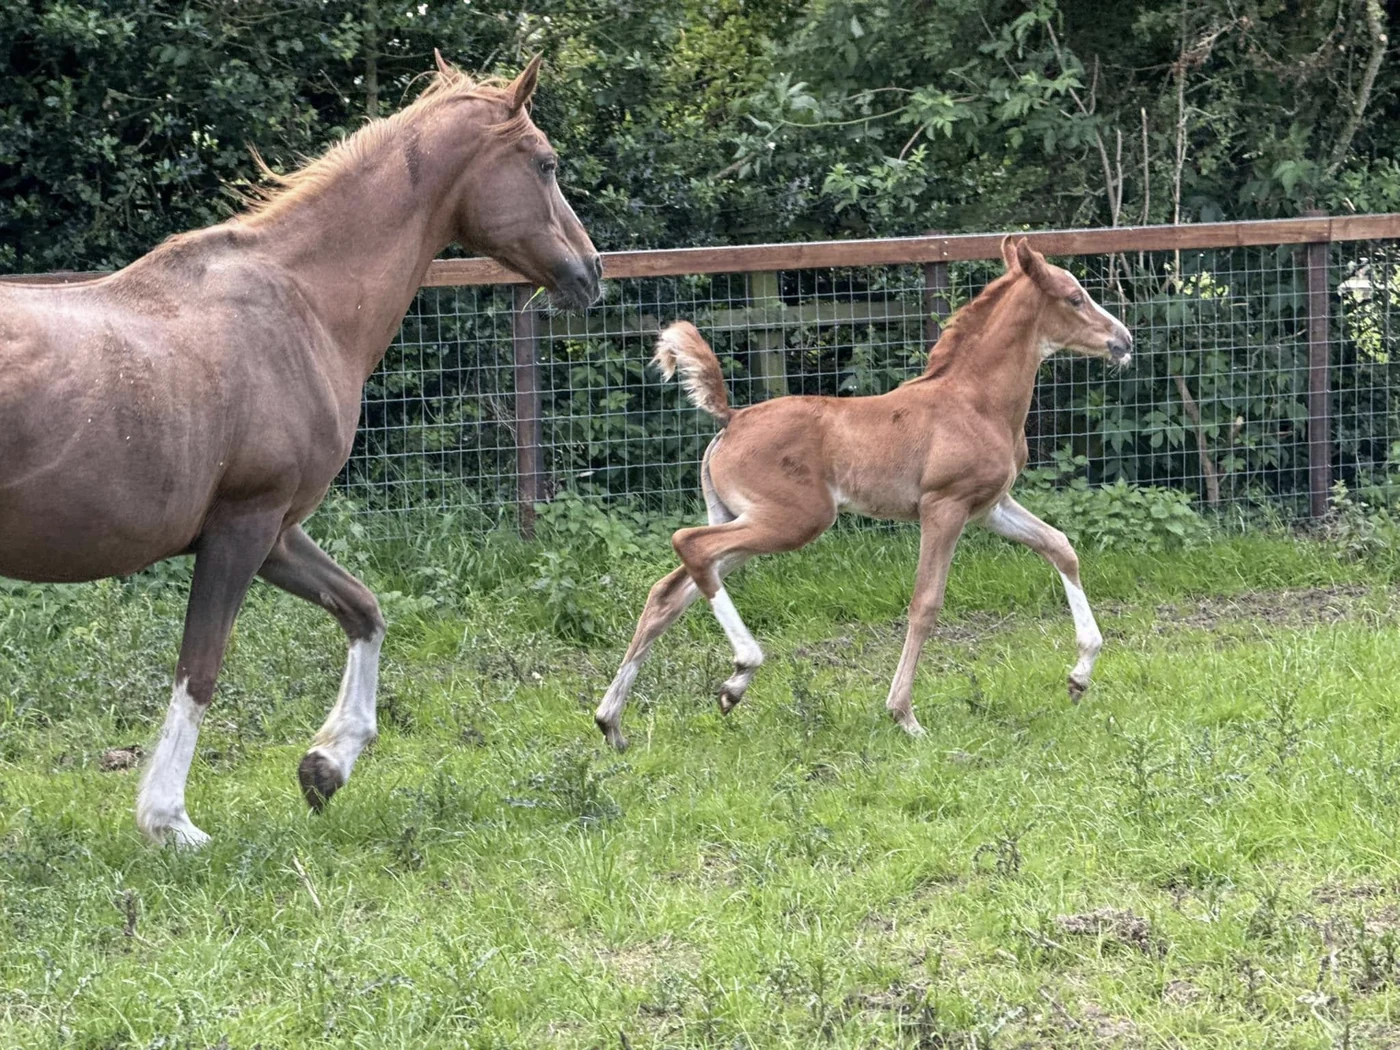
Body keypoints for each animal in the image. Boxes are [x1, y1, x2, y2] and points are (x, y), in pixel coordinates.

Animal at [0, 53, 600, 846]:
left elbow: (364, 609)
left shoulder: (277, 532)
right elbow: (201, 668)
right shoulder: (244, 526)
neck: (305, 304)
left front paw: (327, 765)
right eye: (545, 163)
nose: (592, 272)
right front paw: (170, 823)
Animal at [594, 238, 1133, 750]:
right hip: (795, 520)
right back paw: (740, 670)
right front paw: (904, 714)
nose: (1123, 340)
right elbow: (925, 603)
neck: (976, 402)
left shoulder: (990, 507)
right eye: (1075, 297)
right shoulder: (944, 506)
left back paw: (615, 722)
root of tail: (733, 418)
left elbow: (1060, 547)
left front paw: (1079, 676)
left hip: (744, 519)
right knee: (689, 544)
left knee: (671, 589)